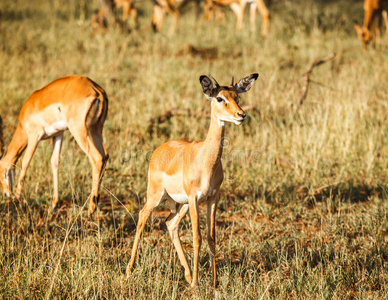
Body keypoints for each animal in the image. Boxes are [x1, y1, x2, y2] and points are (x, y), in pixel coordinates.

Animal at [0, 75, 109, 216]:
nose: (6, 193)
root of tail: (96, 90)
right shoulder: (58, 134)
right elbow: (55, 162)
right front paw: (54, 205)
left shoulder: (34, 136)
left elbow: (25, 162)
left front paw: (18, 199)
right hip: (96, 129)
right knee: (105, 155)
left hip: (79, 131)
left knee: (97, 158)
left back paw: (91, 209)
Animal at [127, 73, 260, 288]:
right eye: (219, 98)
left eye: (237, 96)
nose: (241, 115)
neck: (206, 161)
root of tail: (159, 150)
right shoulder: (195, 198)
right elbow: (197, 237)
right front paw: (197, 285)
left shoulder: (212, 198)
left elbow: (211, 237)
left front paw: (214, 282)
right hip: (157, 196)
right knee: (142, 216)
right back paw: (129, 271)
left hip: (182, 204)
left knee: (170, 223)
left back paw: (188, 274)